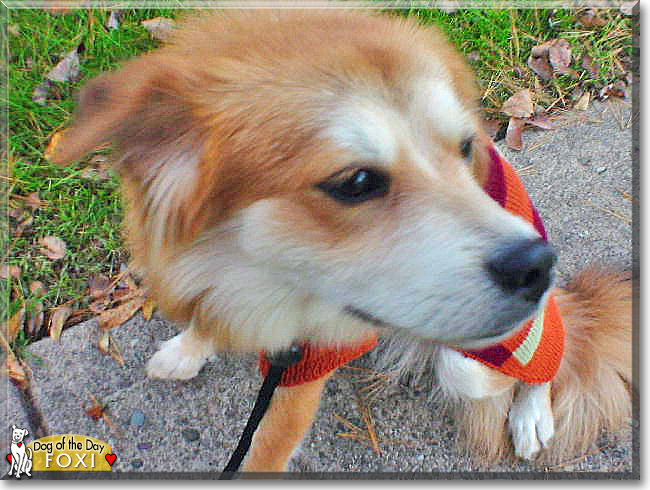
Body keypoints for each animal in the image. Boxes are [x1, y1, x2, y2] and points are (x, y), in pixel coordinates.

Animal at [49, 10, 628, 470]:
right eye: (356, 181)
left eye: (466, 147)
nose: (537, 265)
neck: (241, 272)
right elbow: (205, 319)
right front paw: (190, 347)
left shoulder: (299, 372)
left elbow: (264, 451)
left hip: (479, 360)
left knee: (546, 351)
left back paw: (533, 414)